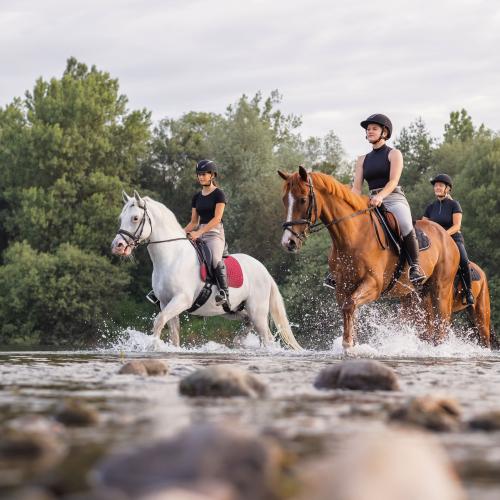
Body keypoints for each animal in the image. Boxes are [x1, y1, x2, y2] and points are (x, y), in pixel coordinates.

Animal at [112, 191, 302, 352]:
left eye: (135, 218)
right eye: (121, 218)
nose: (117, 246)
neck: (172, 256)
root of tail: (264, 271)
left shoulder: (182, 300)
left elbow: (158, 321)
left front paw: (153, 347)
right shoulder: (166, 302)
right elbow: (173, 333)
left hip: (258, 312)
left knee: (267, 337)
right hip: (233, 310)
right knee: (249, 325)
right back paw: (240, 344)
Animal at [278, 166, 464, 350]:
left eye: (302, 200)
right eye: (285, 200)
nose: (288, 242)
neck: (353, 235)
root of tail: (446, 236)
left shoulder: (373, 284)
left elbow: (349, 306)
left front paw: (348, 344)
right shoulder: (343, 286)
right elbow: (348, 310)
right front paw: (352, 343)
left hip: (440, 289)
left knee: (442, 324)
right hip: (414, 293)